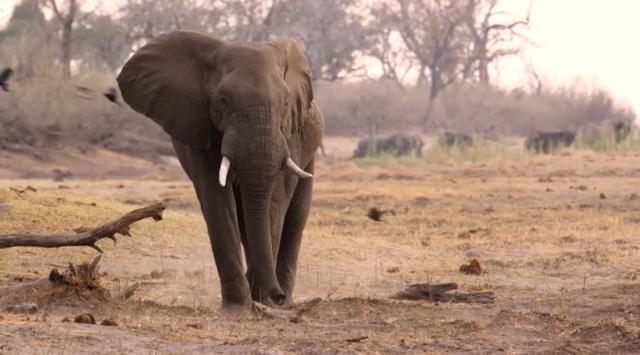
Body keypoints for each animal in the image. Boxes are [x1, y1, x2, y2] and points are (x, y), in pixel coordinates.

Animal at [117, 32, 322, 312]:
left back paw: (283, 300)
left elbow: (274, 205)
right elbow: (217, 202)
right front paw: (238, 308)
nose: (276, 295)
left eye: (285, 102)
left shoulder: (288, 135)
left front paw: (261, 299)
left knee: (295, 219)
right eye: (222, 101)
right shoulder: (201, 129)